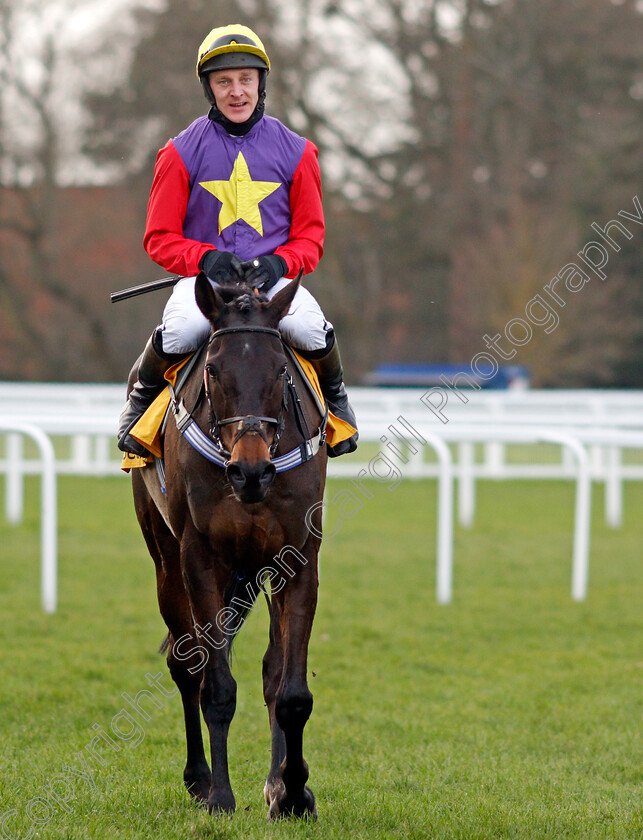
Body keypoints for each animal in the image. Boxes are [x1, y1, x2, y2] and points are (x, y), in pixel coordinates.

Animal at [131, 276, 328, 820]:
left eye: (281, 368)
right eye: (214, 369)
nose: (251, 471)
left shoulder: (297, 559)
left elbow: (291, 692)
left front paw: (292, 792)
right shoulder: (200, 558)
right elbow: (215, 685)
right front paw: (219, 794)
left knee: (270, 670)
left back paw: (275, 783)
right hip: (164, 559)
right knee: (186, 667)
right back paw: (199, 779)